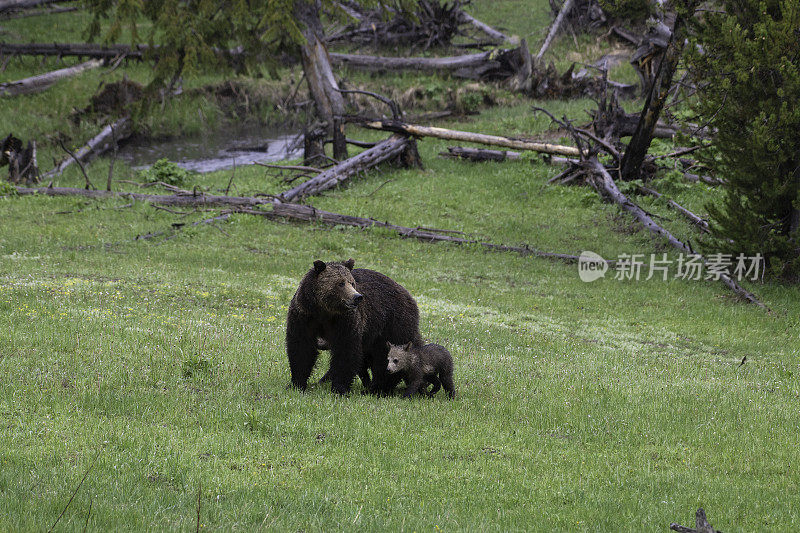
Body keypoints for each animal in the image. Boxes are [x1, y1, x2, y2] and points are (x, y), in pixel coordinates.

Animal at [288, 258, 424, 394]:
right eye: (340, 283)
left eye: (352, 283)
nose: (357, 297)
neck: (325, 312)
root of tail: (408, 294)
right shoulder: (304, 316)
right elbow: (301, 348)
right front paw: (297, 384)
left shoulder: (346, 321)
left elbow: (346, 350)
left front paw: (339, 388)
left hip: (393, 324)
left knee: (388, 355)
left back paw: (378, 387)